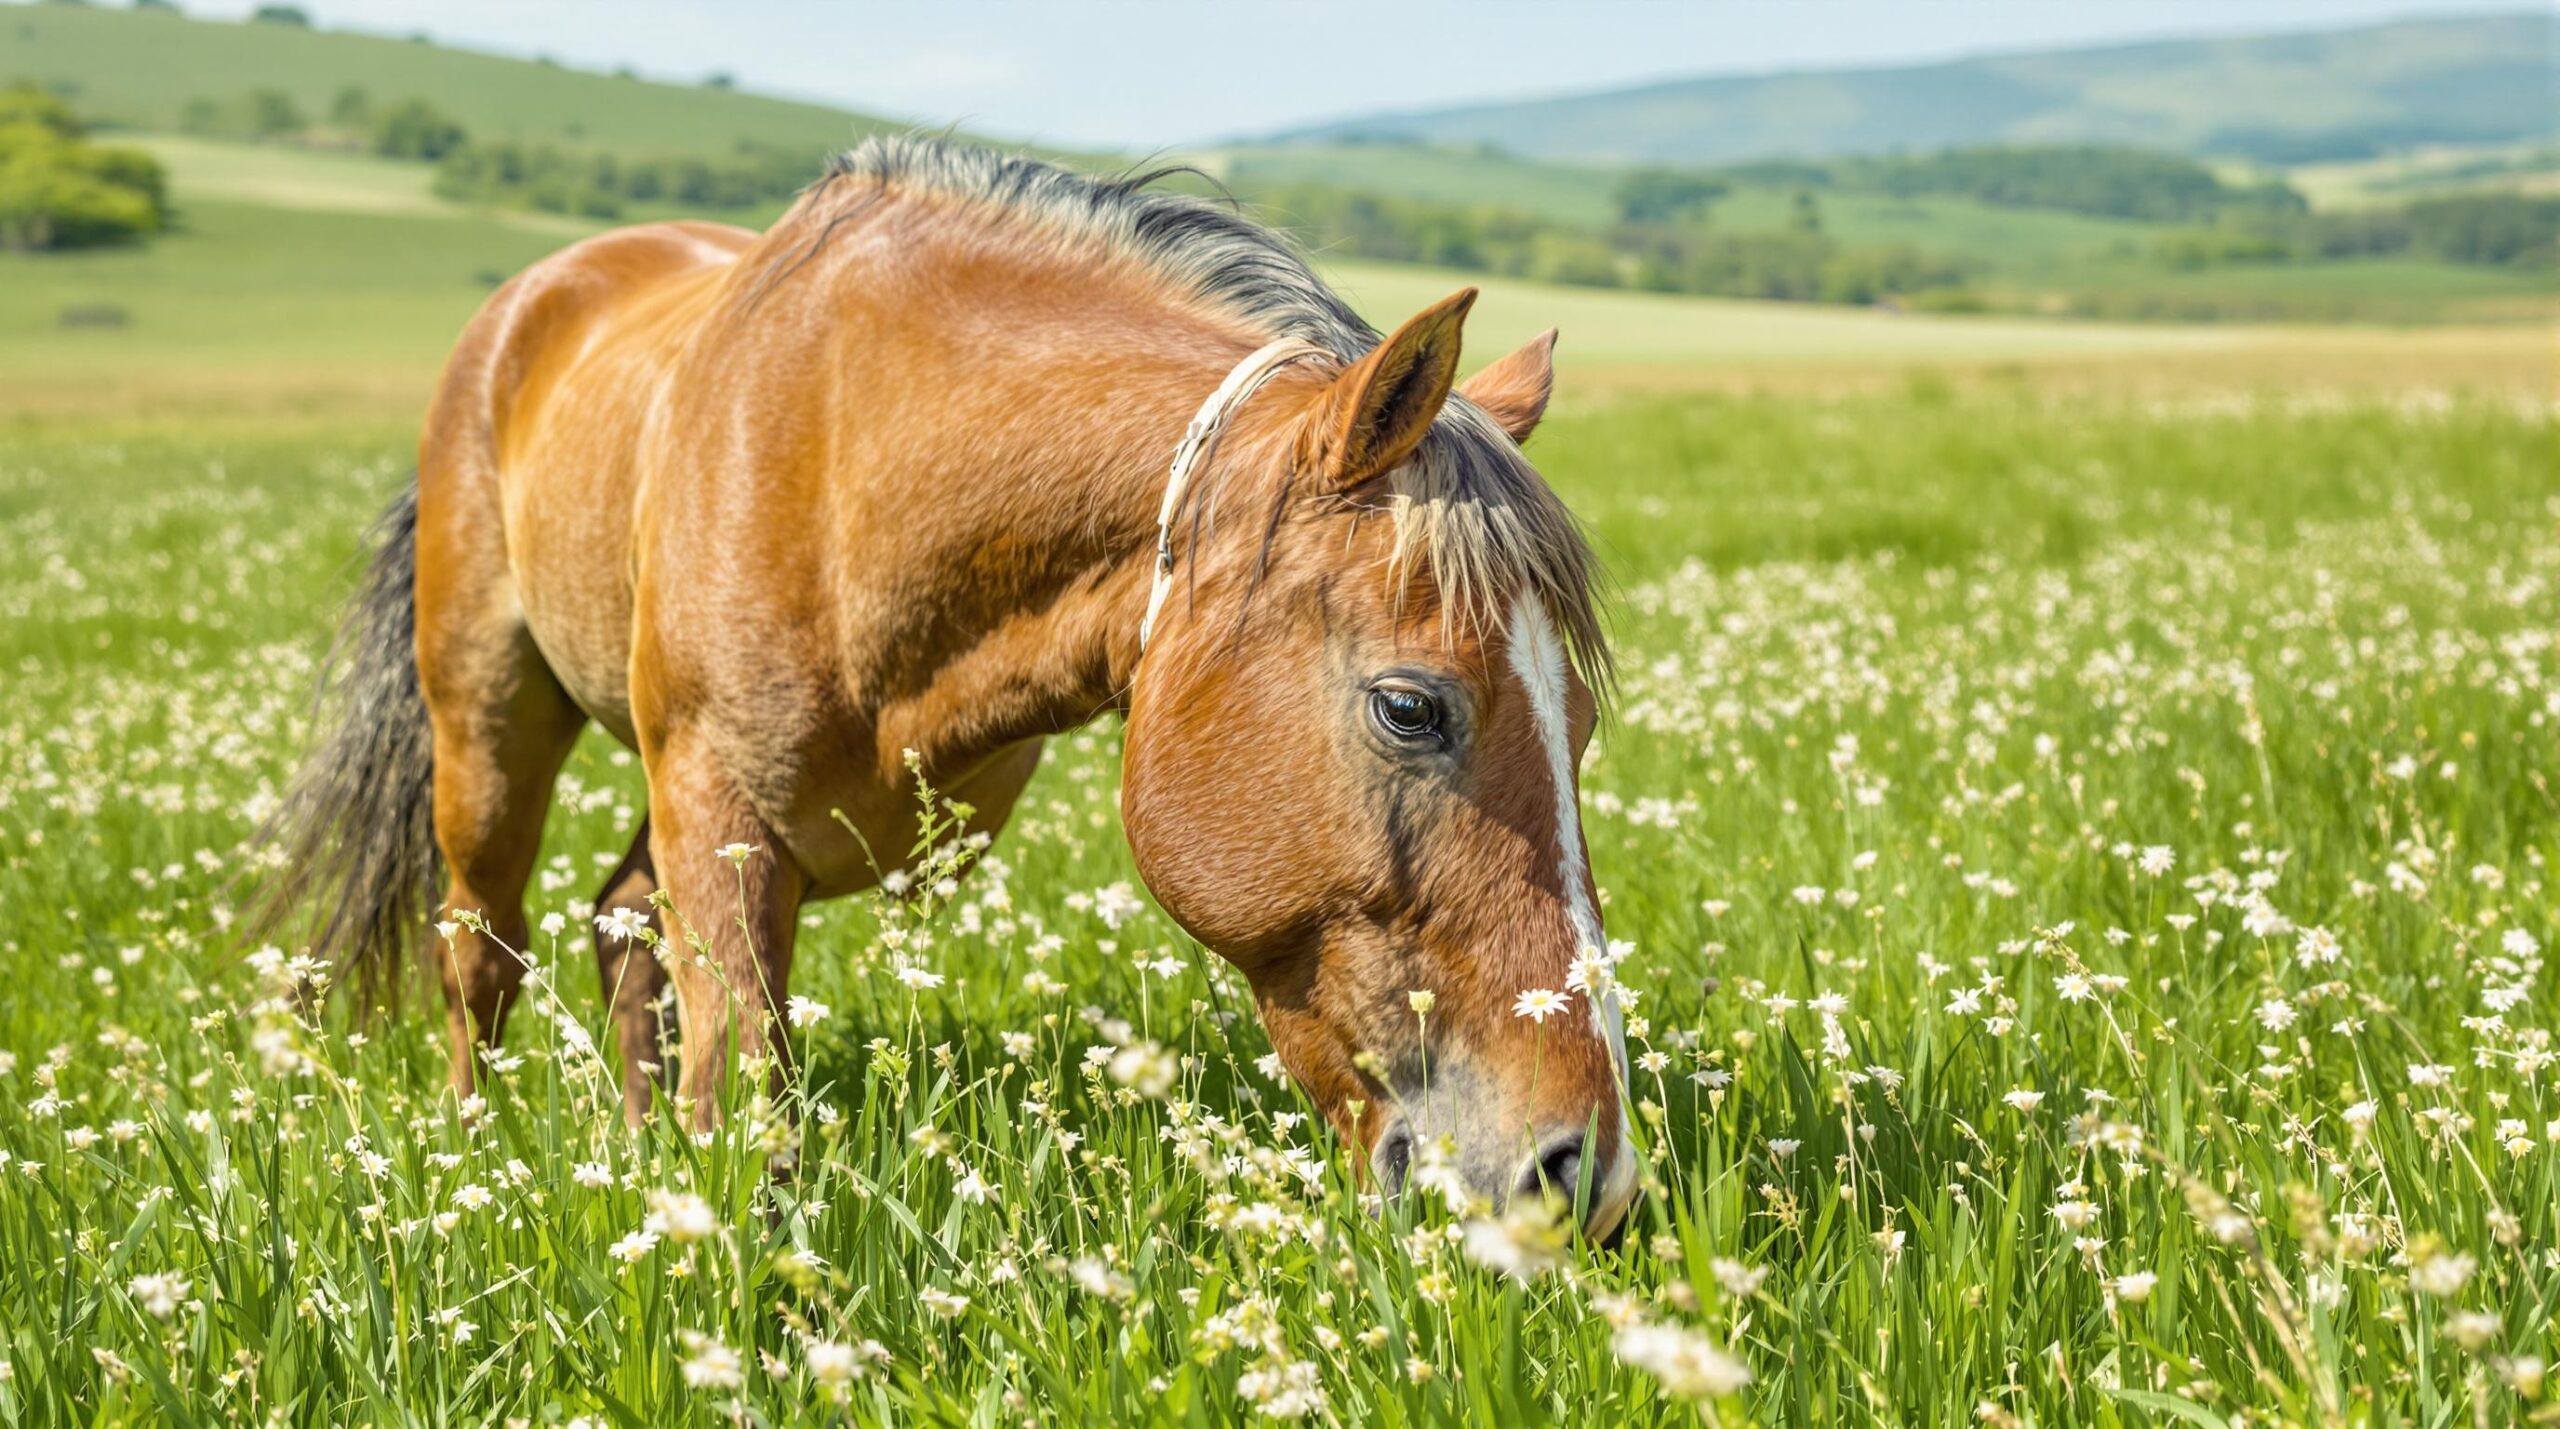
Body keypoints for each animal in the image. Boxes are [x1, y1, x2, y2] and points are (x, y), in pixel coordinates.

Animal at [253, 136, 1635, 1237]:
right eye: (1411, 707)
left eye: (1578, 722)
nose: (1586, 1175)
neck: (852, 475)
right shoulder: (722, 817)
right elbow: (743, 1093)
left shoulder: (727, 828)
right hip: (491, 730)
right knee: (479, 951)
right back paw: (466, 1158)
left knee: (619, 922)